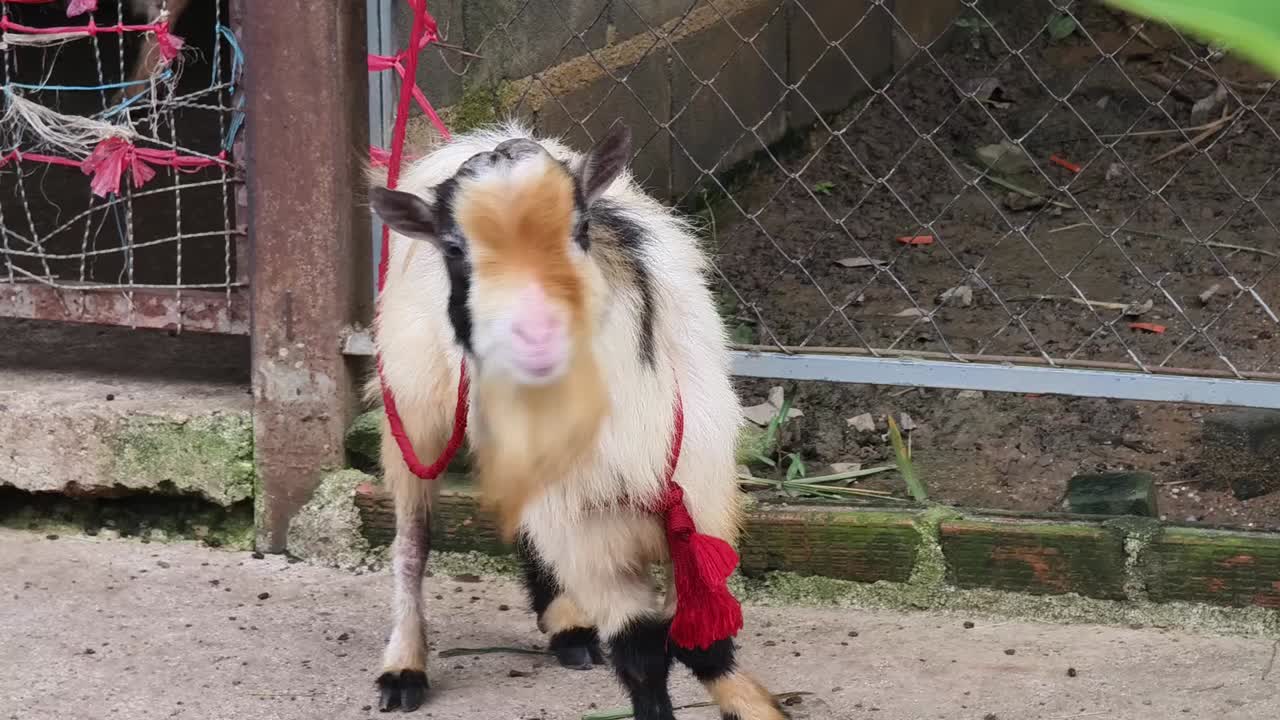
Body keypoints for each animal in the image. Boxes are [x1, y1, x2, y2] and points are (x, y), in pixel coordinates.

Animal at [367, 122, 786, 720]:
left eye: (580, 226)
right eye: (453, 247)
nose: (537, 335)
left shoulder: (700, 496)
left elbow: (704, 642)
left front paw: (755, 706)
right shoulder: (587, 532)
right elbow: (640, 652)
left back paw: (567, 628)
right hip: (414, 410)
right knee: (411, 540)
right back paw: (404, 668)